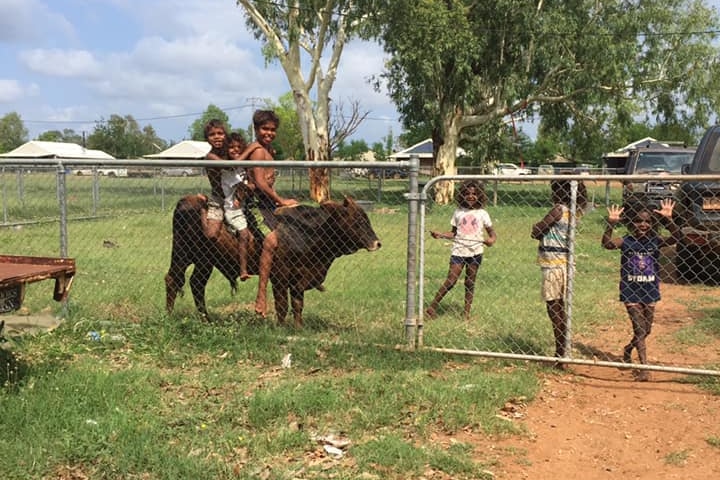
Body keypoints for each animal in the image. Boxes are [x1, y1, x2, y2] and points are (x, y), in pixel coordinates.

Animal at [165, 195, 380, 326]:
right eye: (358, 221)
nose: (377, 243)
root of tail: (187, 200)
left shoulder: (299, 278)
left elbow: (298, 304)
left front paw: (299, 328)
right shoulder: (280, 276)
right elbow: (282, 305)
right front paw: (281, 327)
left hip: (204, 260)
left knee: (197, 284)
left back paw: (206, 319)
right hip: (182, 254)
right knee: (173, 279)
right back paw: (169, 315)